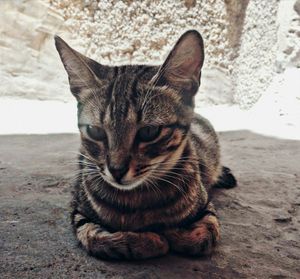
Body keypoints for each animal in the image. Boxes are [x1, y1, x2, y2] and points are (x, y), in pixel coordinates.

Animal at [54, 30, 237, 260]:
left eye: (149, 132)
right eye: (95, 131)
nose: (116, 170)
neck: (138, 200)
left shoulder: (206, 205)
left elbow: (204, 234)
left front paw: (173, 233)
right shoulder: (79, 211)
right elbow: (98, 238)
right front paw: (150, 241)